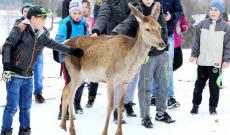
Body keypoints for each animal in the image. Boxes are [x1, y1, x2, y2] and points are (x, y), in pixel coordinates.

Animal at [59, 2, 164, 135]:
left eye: (160, 28)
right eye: (147, 29)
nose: (162, 44)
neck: (128, 63)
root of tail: (66, 43)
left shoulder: (124, 81)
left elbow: (120, 105)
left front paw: (119, 132)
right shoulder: (110, 78)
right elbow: (110, 105)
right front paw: (104, 132)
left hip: (82, 76)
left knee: (66, 90)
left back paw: (63, 125)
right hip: (75, 71)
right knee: (71, 94)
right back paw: (72, 129)